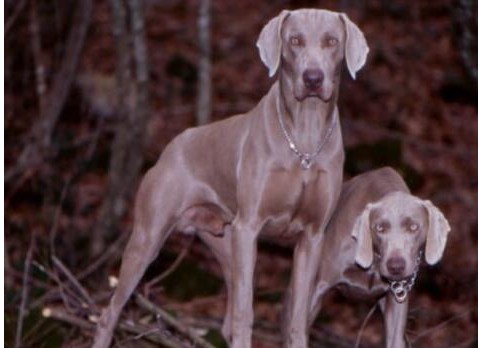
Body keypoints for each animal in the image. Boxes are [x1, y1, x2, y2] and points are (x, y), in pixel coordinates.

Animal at [92, 8, 368, 348]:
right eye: (294, 40)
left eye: (331, 41)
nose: (312, 78)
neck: (303, 141)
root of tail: (171, 146)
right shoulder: (248, 226)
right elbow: (245, 313)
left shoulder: (312, 236)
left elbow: (297, 321)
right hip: (150, 236)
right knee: (110, 312)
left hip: (223, 240)